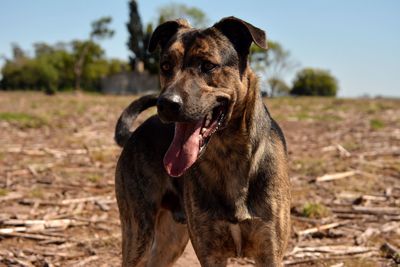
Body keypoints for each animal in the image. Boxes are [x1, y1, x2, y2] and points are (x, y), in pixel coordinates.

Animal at [114, 17, 290, 267]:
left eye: (207, 66)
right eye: (165, 66)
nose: (165, 103)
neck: (228, 154)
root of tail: (134, 133)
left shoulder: (269, 252)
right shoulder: (210, 253)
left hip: (171, 240)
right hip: (138, 233)